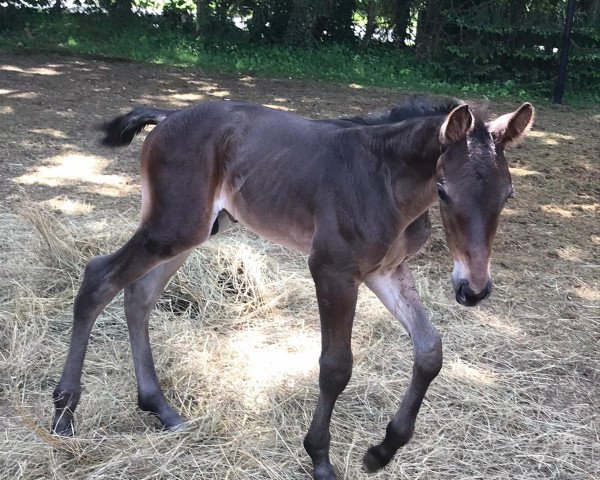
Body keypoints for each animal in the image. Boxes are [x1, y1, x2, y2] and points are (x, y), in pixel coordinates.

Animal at [51, 95, 536, 478]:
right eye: (444, 190)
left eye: (508, 195)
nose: (473, 290)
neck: (384, 178)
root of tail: (168, 116)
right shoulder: (332, 270)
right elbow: (336, 366)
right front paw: (319, 458)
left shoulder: (386, 271)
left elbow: (430, 350)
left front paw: (381, 451)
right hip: (172, 228)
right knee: (98, 279)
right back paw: (63, 414)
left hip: (194, 231)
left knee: (139, 295)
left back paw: (161, 408)